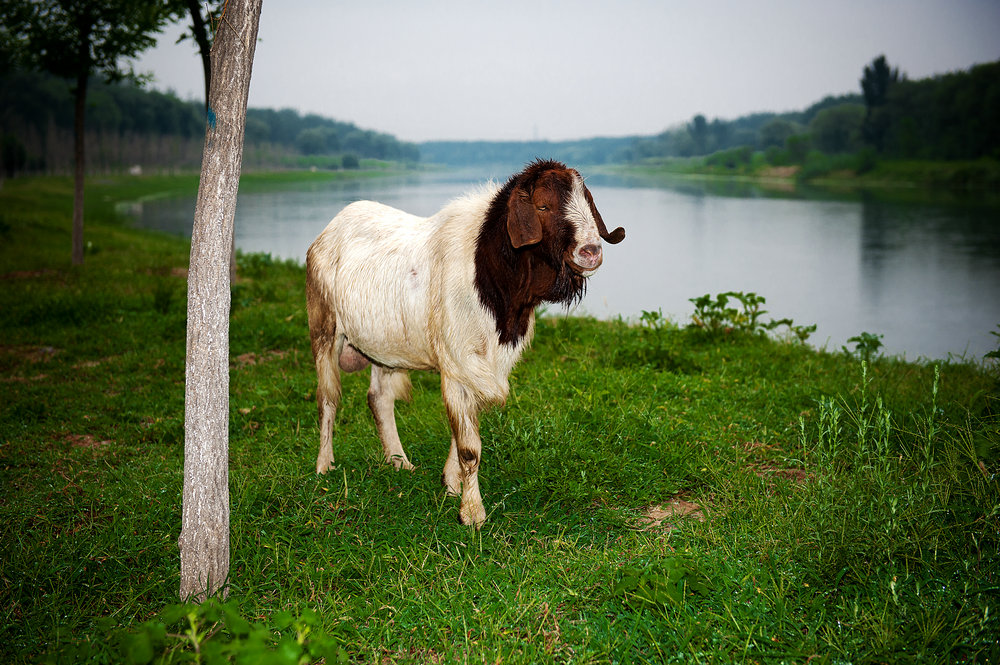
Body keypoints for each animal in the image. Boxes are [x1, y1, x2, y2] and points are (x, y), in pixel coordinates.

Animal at [304, 160, 620, 524]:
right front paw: (472, 513)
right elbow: (469, 446)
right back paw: (324, 467)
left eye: (587, 201)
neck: (489, 276)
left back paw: (399, 462)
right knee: (328, 399)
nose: (591, 252)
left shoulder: (484, 365)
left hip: (386, 347)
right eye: (543, 206)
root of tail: (329, 229)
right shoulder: (457, 362)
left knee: (379, 399)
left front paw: (452, 485)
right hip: (324, 328)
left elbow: (462, 432)